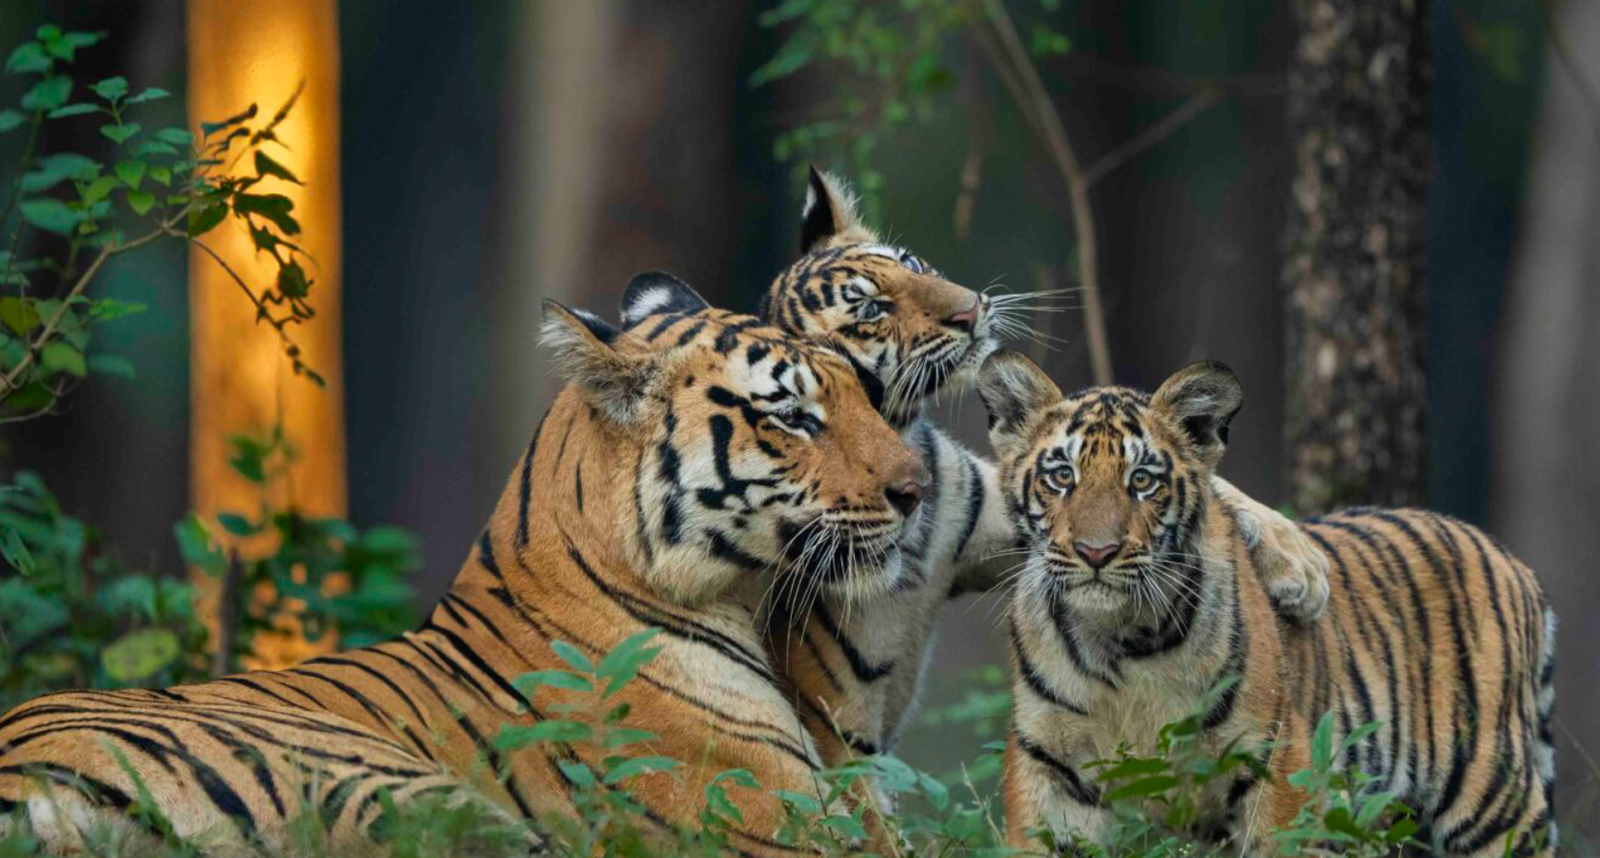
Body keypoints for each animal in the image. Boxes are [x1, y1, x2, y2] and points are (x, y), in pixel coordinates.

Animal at [738, 167, 1334, 777]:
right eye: (871, 312)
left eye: (911, 264)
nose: (970, 310)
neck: (901, 434)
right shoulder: (834, 710)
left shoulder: (999, 528)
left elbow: (1213, 486)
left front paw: (1301, 567)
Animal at [976, 349, 1557, 857]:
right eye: (1061, 477)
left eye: (1141, 480)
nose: (1097, 552)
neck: (1120, 642)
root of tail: (1513, 561)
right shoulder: (1049, 765)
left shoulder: (1278, 763)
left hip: (1492, 801)